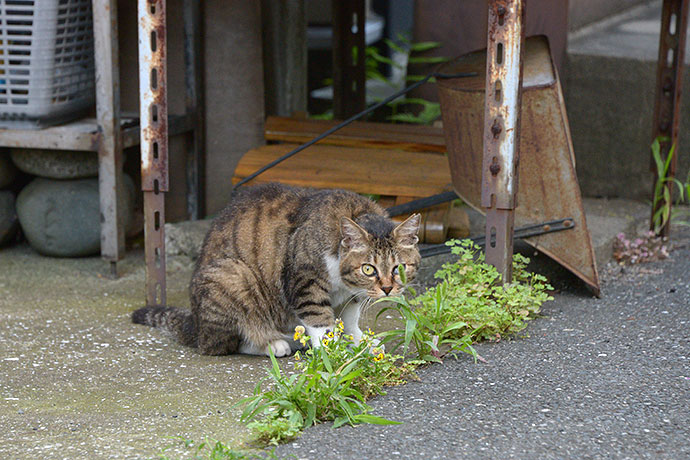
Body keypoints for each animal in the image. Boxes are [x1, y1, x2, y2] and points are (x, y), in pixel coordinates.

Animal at [130, 182, 420, 356]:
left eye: (399, 267)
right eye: (369, 269)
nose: (387, 289)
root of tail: (196, 324)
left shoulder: (352, 295)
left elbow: (350, 317)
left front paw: (359, 341)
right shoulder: (304, 280)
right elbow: (319, 318)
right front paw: (331, 350)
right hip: (234, 276)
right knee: (226, 343)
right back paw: (275, 342)